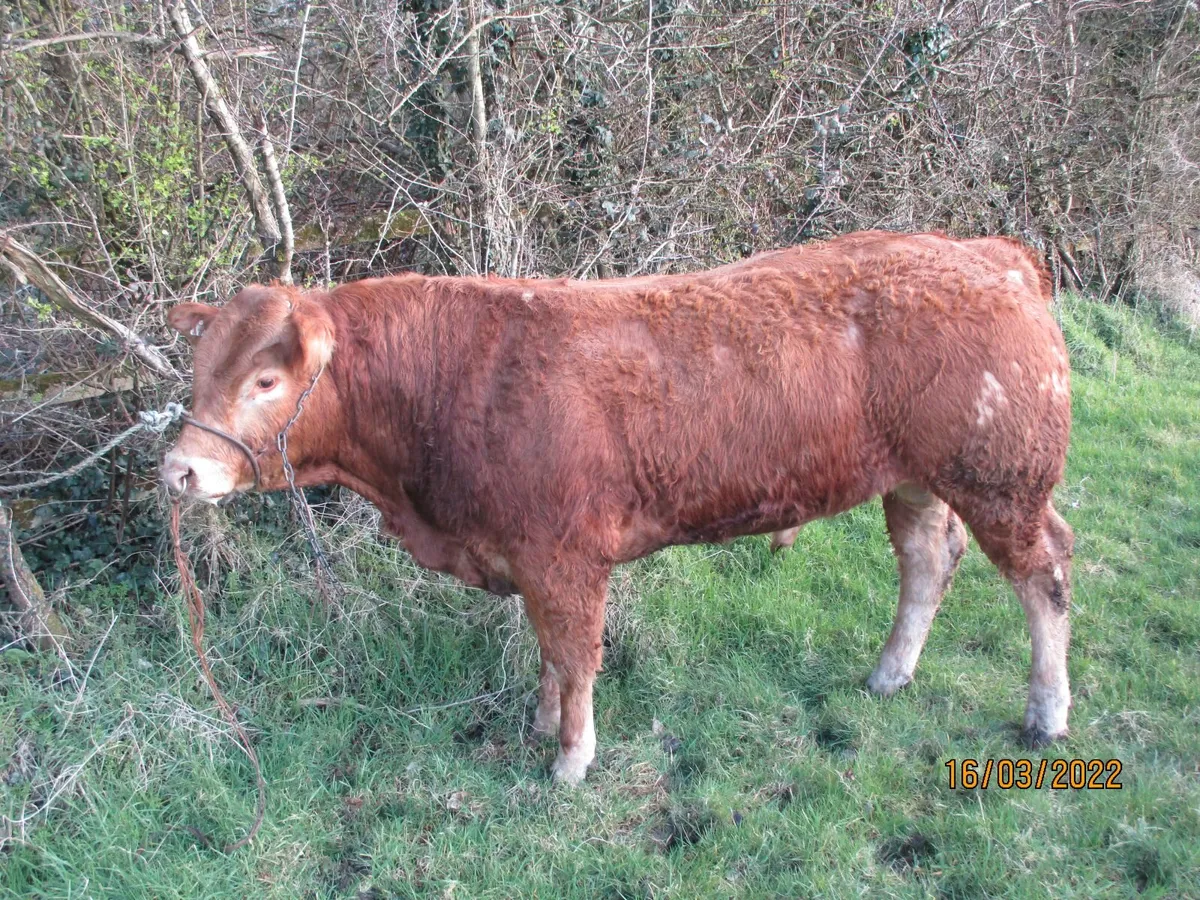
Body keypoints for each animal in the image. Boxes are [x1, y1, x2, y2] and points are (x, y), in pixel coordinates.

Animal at [161, 230, 1075, 785]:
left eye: (265, 380)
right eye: (201, 370)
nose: (178, 469)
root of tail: (990, 252)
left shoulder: (565, 556)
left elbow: (576, 655)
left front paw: (571, 759)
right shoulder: (525, 554)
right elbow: (545, 650)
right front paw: (539, 723)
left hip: (1003, 475)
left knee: (1046, 576)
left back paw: (1047, 713)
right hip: (918, 476)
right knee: (928, 558)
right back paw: (890, 673)